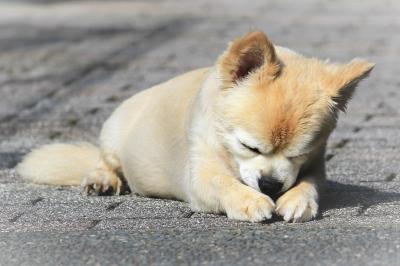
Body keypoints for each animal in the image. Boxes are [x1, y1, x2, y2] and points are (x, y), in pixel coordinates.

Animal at [16, 30, 376, 222]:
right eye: (248, 146)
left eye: (298, 154)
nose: (270, 185)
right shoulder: (200, 178)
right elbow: (223, 183)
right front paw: (250, 201)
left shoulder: (315, 166)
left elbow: (309, 183)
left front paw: (298, 199)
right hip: (114, 132)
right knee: (104, 162)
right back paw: (103, 179)